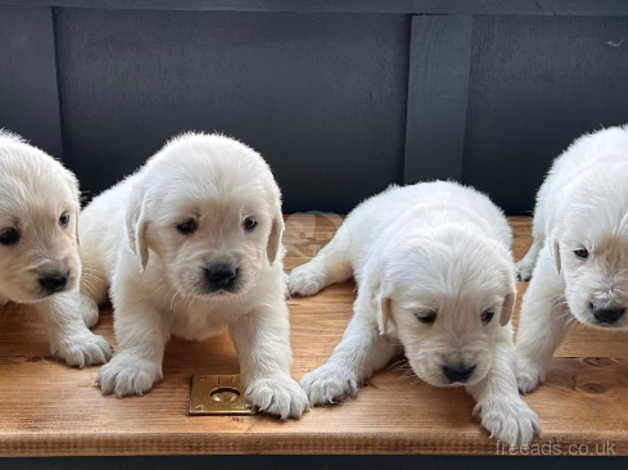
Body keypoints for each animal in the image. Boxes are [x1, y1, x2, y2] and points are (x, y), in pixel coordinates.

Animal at [69, 131, 310, 418]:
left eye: (250, 223)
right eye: (186, 225)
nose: (223, 272)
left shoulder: (260, 300)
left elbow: (267, 341)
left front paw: (276, 384)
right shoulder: (136, 288)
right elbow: (139, 330)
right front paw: (131, 366)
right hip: (90, 251)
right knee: (85, 281)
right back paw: (81, 307)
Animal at [290, 180, 540, 444]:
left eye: (487, 315)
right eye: (424, 317)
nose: (459, 371)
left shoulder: (500, 329)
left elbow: (499, 365)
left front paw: (510, 411)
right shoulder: (372, 313)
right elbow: (354, 345)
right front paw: (329, 376)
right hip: (349, 236)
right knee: (331, 259)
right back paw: (304, 277)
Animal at [516, 125, 628, 392]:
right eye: (581, 252)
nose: (606, 312)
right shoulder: (553, 271)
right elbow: (539, 326)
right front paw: (521, 372)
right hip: (543, 207)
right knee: (537, 238)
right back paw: (525, 266)